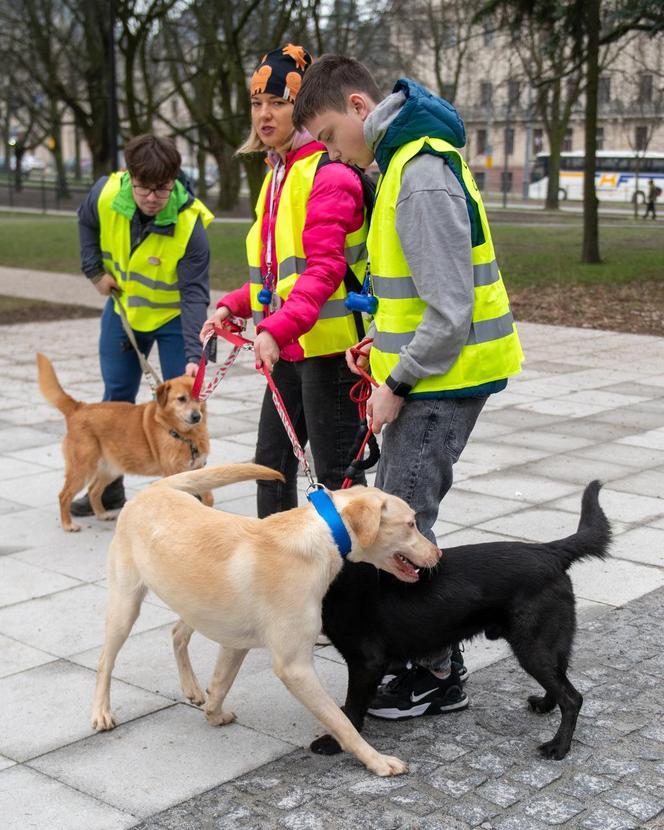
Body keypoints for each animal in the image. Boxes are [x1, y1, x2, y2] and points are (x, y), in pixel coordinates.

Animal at [35, 352, 210, 532]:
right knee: (64, 495)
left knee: (93, 490)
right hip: (83, 469)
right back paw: (68, 524)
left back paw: (101, 514)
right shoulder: (173, 473)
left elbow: (208, 497)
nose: (196, 416)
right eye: (181, 399)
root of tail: (78, 407)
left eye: (199, 397)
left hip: (110, 469)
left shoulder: (198, 469)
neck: (183, 434)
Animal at [91, 464, 440, 776]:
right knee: (105, 659)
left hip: (195, 605)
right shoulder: (294, 666)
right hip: (126, 603)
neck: (325, 534)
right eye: (411, 523)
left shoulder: (234, 644)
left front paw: (213, 714)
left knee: (177, 632)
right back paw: (101, 713)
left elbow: (221, 685)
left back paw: (191, 687)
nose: (438, 555)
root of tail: (155, 488)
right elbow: (341, 721)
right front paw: (377, 761)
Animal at [314, 480, 608, 760]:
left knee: (572, 698)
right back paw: (545, 706)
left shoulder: (366, 663)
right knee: (560, 682)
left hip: (533, 648)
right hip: (551, 644)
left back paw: (559, 747)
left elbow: (352, 710)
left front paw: (334, 743)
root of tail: (550, 551)